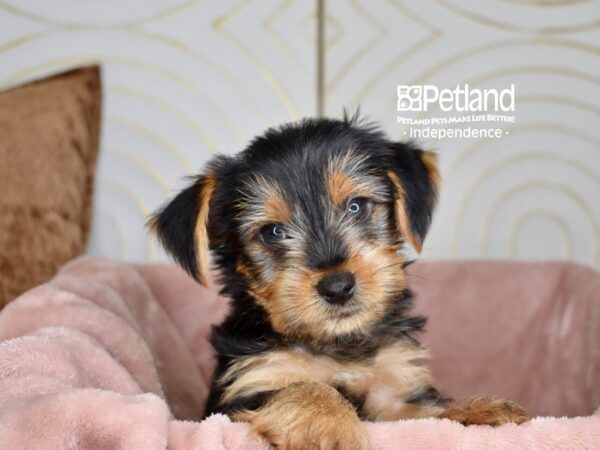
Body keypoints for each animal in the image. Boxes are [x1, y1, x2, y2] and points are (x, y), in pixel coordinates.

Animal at [150, 116, 528, 450]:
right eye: (272, 232)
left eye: (356, 206)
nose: (337, 286)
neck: (337, 343)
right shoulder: (244, 390)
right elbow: (302, 388)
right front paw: (328, 426)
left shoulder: (394, 390)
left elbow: (426, 415)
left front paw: (479, 409)